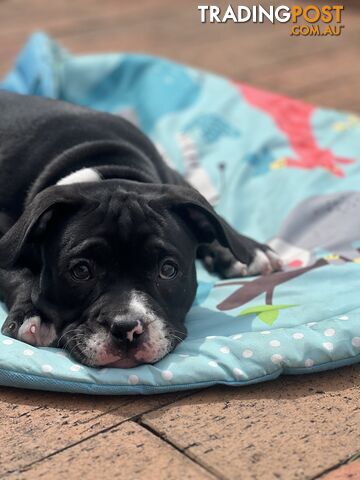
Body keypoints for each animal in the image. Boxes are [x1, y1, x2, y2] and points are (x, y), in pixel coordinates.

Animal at [0, 91, 282, 368]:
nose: (126, 328)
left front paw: (248, 250)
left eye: (168, 270)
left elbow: (209, 210)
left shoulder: (175, 181)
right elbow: (14, 270)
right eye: (81, 271)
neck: (107, 169)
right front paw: (33, 313)